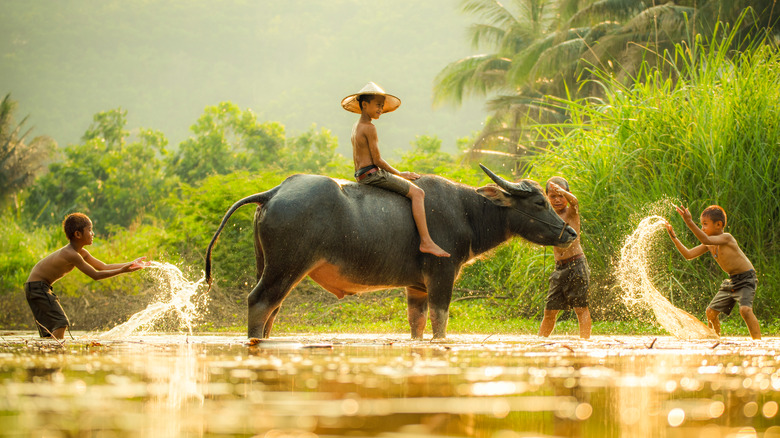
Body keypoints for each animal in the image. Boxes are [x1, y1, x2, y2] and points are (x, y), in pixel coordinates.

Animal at [204, 164, 576, 338]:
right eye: (540, 202)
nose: (570, 231)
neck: (468, 212)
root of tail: (275, 191)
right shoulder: (441, 276)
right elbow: (440, 324)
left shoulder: (416, 286)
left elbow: (417, 325)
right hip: (286, 266)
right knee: (260, 302)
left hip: (267, 265)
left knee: (273, 309)